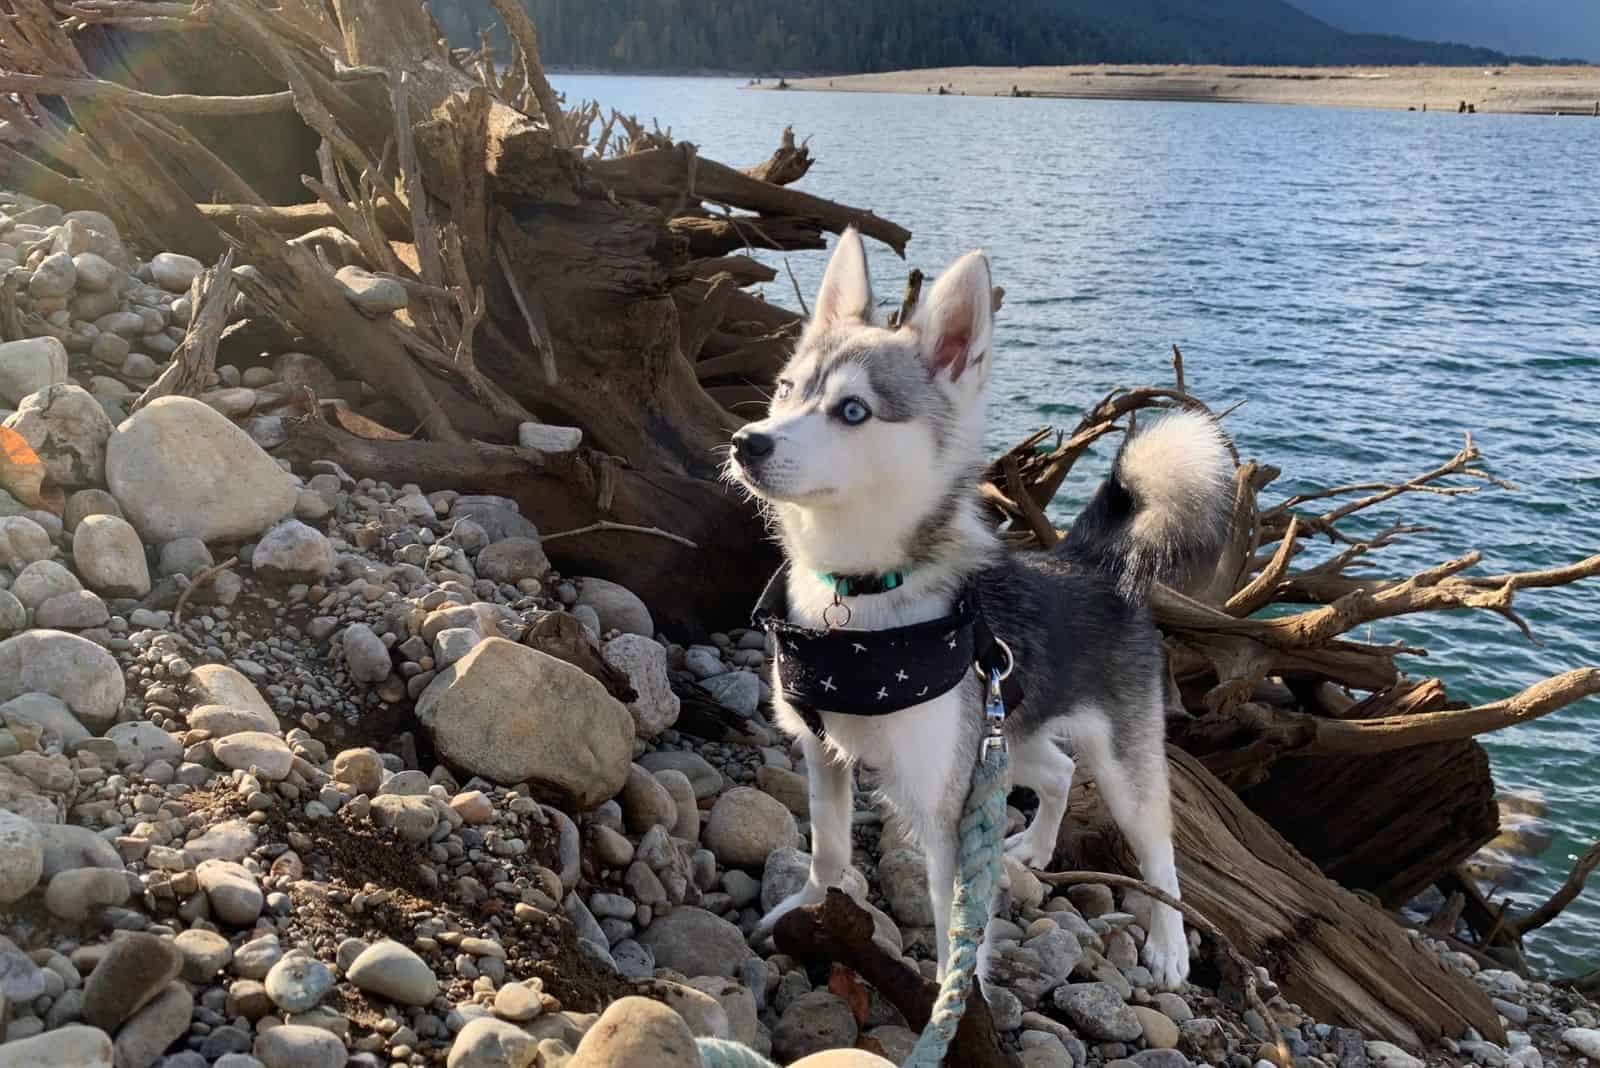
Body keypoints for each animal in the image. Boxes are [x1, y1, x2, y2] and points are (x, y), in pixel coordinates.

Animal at [729, 227, 1235, 991]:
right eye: (786, 391)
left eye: (853, 411)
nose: (747, 443)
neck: (859, 596)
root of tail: (1088, 560)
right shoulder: (824, 753)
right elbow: (829, 851)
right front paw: (806, 906)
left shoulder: (947, 807)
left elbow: (954, 923)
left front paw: (956, 999)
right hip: (1005, 737)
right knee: (1056, 772)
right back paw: (1037, 847)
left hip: (1118, 761)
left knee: (1157, 847)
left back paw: (1170, 942)